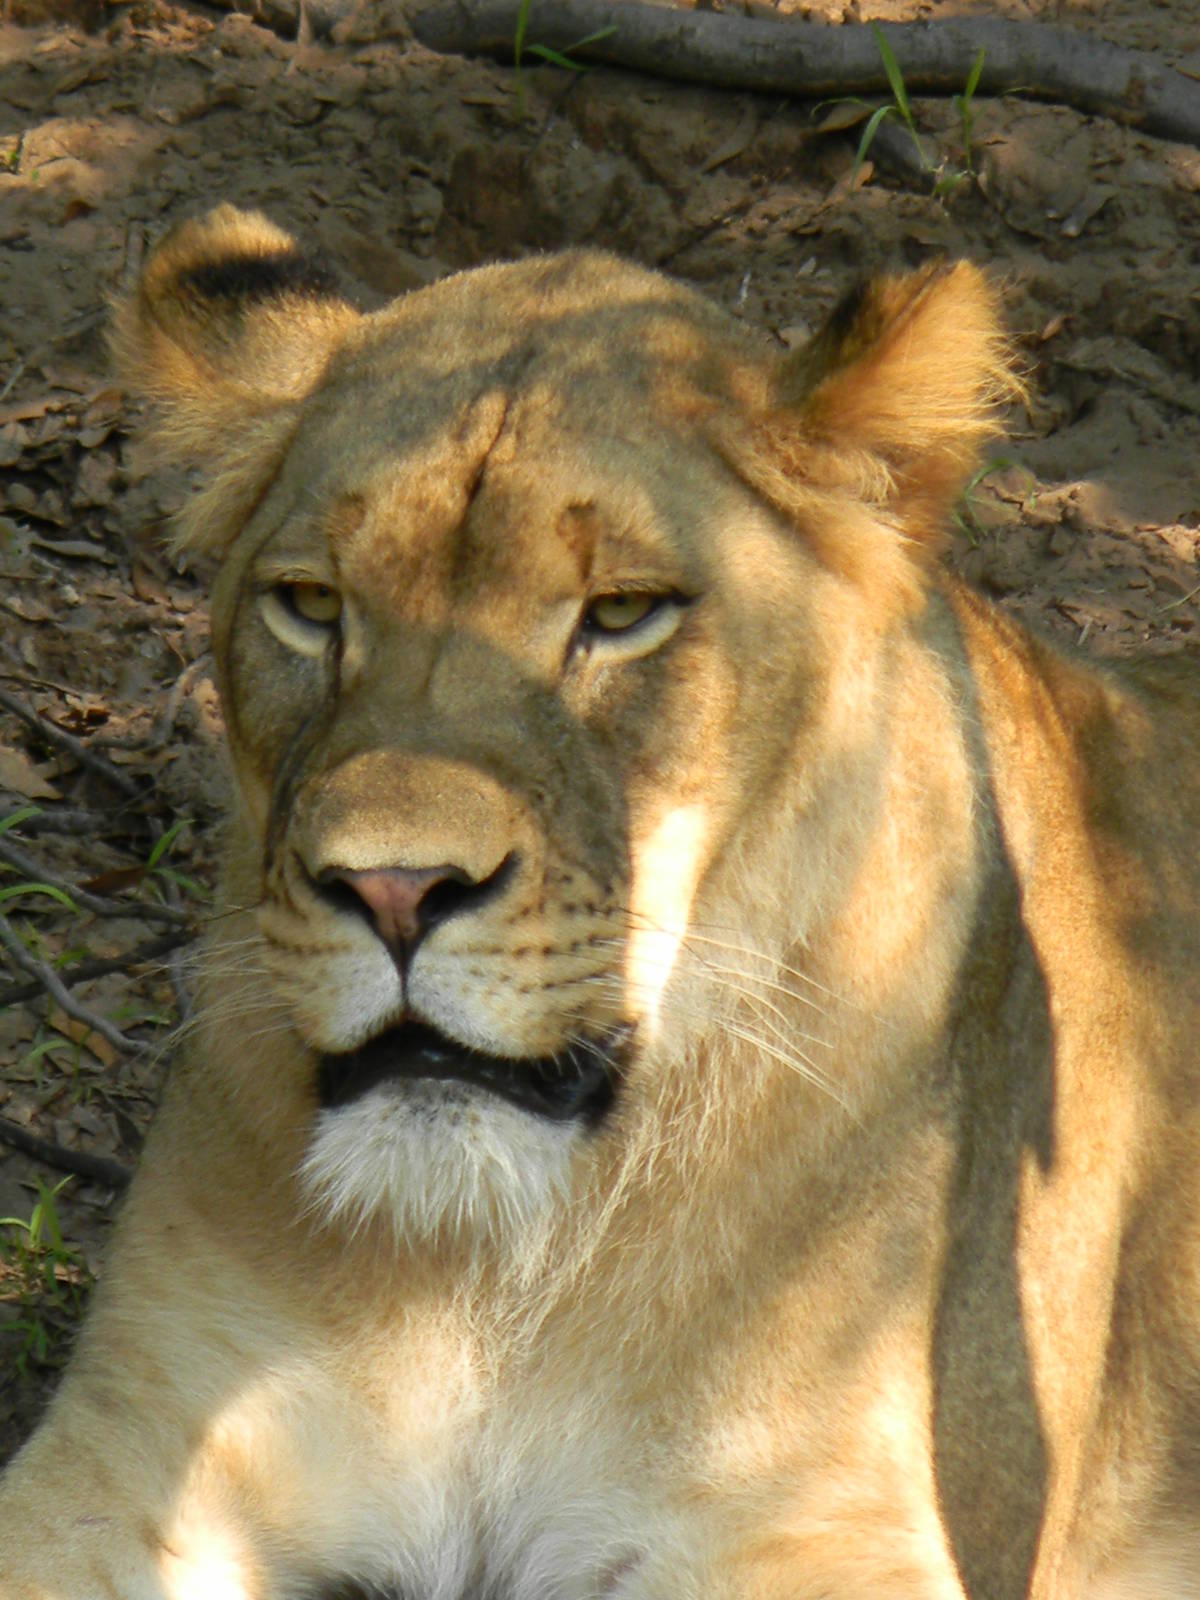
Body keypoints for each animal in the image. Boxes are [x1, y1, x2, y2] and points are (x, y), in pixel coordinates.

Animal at [0, 204, 1198, 1600]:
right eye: (310, 605)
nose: (393, 887)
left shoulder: (822, 1517)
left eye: (622, 614)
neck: (484, 1276)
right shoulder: (126, 1451)